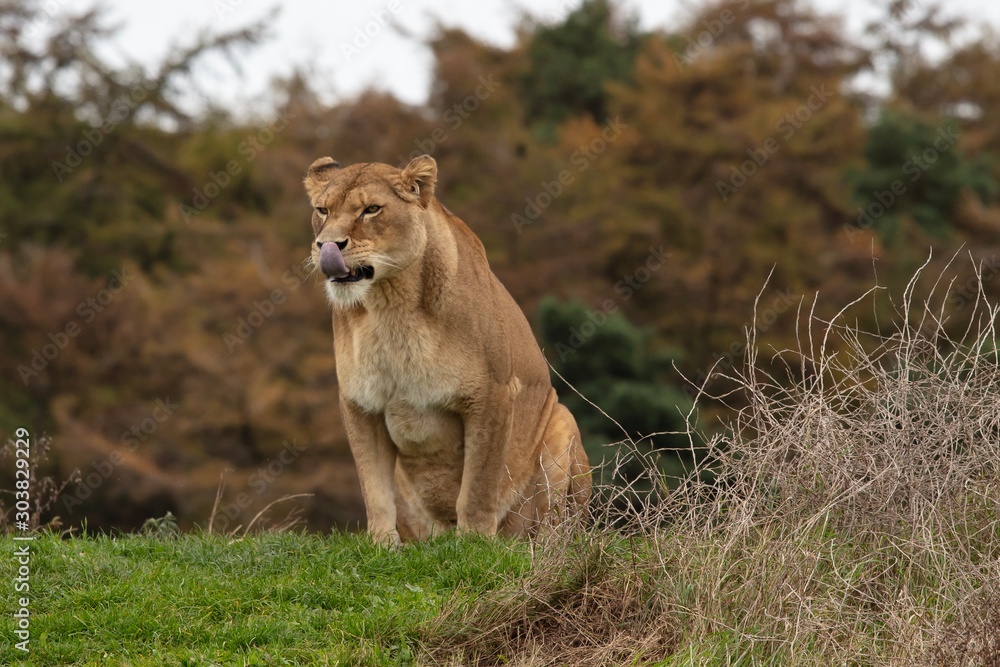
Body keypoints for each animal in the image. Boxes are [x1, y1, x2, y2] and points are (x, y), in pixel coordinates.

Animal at [304, 154, 590, 546]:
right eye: (323, 210)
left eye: (372, 209)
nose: (326, 246)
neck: (391, 306)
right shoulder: (360, 404)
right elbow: (373, 488)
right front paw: (382, 545)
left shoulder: (493, 395)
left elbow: (479, 484)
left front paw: (475, 543)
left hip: (562, 423)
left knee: (558, 526)